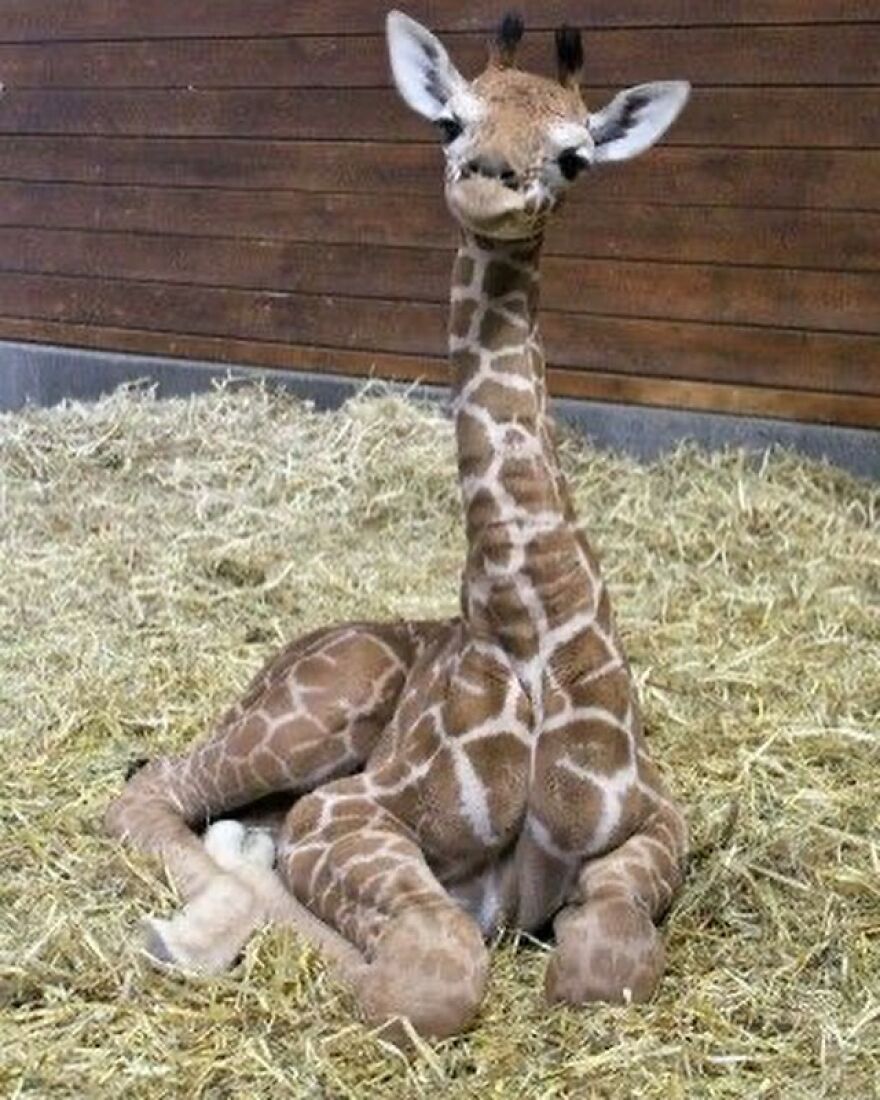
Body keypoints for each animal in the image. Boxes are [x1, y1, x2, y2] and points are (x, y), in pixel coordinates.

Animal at [105, 10, 691, 1041]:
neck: (532, 622)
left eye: (575, 157)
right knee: (151, 792)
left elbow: (603, 961)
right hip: (312, 718)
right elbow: (426, 979)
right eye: (449, 121)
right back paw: (188, 933)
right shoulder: (346, 811)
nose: (490, 181)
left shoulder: (662, 820)